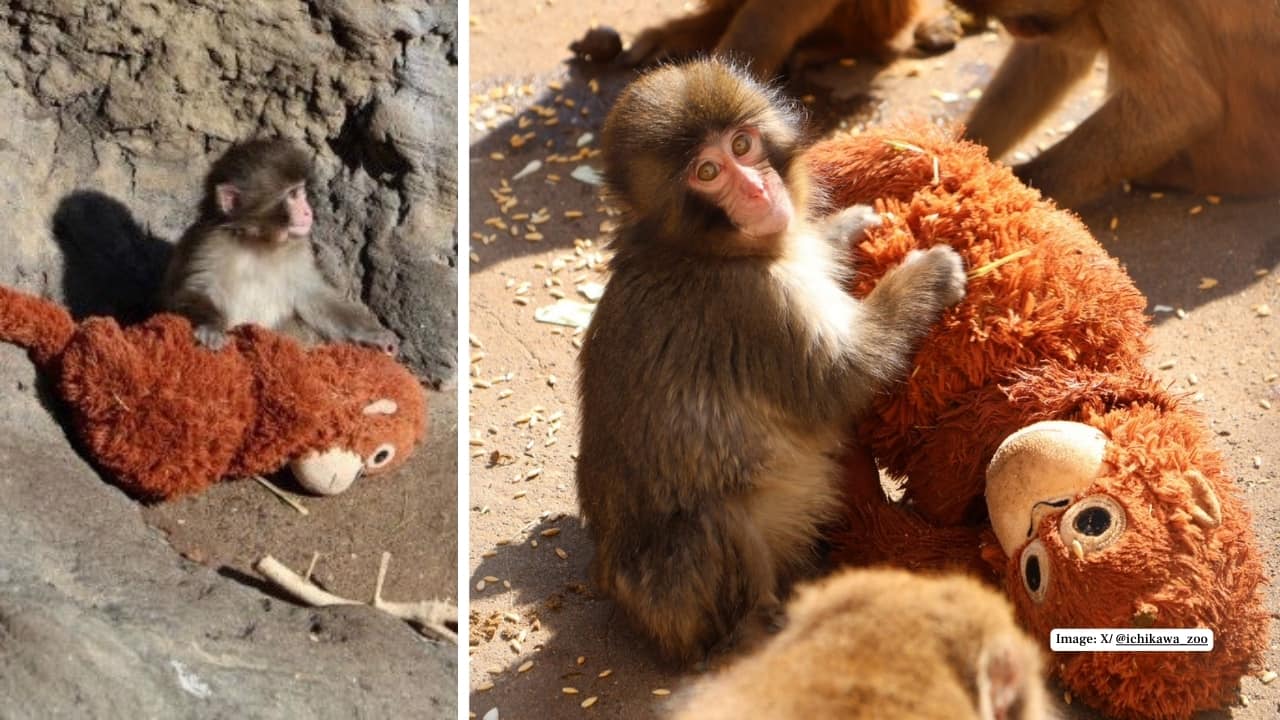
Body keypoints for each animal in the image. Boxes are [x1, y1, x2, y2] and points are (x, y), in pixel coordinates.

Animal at [161, 138, 398, 353]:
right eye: (293, 195)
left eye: (301, 192)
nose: (308, 211)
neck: (258, 242)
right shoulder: (210, 244)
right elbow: (193, 290)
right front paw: (211, 327)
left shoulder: (299, 250)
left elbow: (314, 297)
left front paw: (375, 335)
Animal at [576, 59, 968, 666]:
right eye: (708, 171)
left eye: (743, 144)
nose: (759, 189)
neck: (705, 249)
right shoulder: (754, 305)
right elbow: (841, 379)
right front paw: (925, 277)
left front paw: (845, 227)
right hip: (678, 598)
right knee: (715, 521)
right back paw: (759, 628)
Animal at [957, 0, 1280, 207]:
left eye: (1018, 19)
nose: (1014, 28)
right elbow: (1054, 56)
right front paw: (963, 147)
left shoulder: (1131, 5)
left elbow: (1180, 110)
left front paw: (1014, 193)